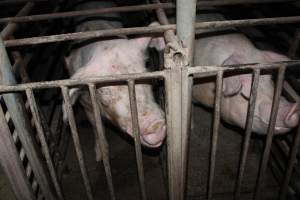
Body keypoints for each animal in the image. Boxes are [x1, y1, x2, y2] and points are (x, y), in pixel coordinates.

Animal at [63, 1, 166, 161]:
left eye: (146, 72)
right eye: (104, 91)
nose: (154, 125)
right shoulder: (85, 103)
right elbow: (96, 126)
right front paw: (100, 157)